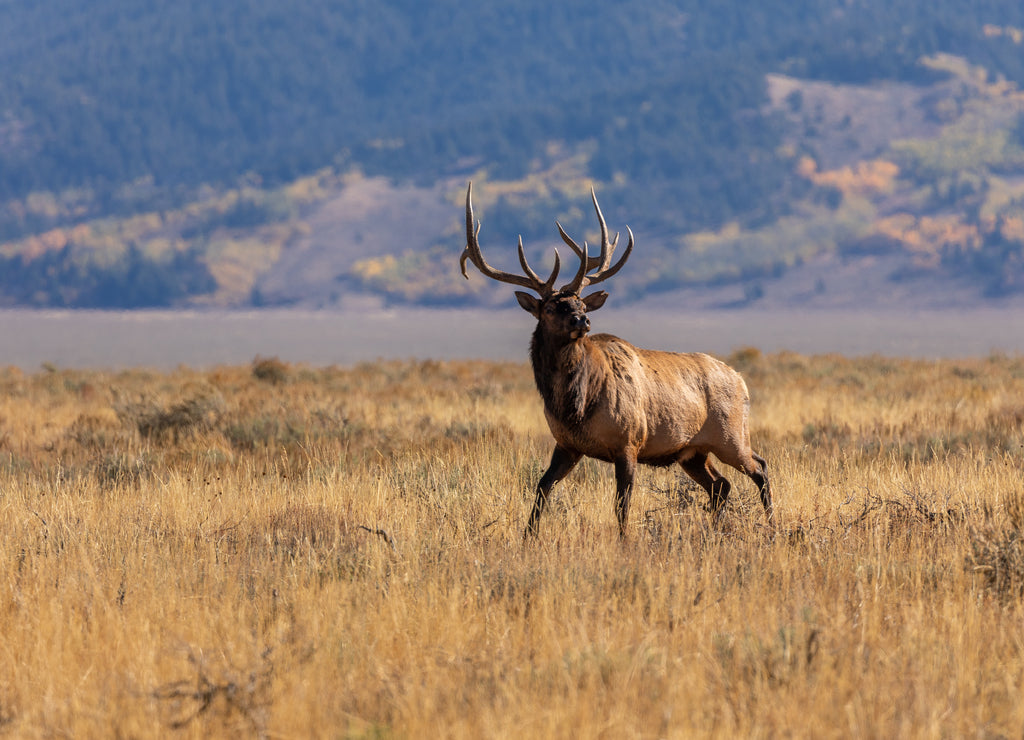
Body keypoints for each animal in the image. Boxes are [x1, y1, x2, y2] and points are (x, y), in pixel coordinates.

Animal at [460, 181, 770, 536]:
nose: (582, 320)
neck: (575, 405)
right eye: (550, 307)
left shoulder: (629, 442)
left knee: (760, 468)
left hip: (731, 435)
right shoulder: (567, 445)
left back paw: (771, 523)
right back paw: (717, 530)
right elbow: (541, 488)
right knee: (721, 486)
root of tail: (741, 381)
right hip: (691, 451)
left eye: (581, 302)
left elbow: (622, 505)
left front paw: (624, 540)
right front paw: (528, 537)